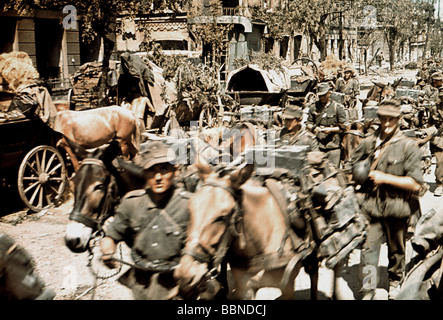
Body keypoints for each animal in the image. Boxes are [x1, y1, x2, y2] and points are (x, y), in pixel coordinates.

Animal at [174, 162, 320, 300]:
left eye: (222, 217)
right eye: (190, 209)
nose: (185, 273)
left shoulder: (288, 288)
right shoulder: (246, 289)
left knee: (314, 276)